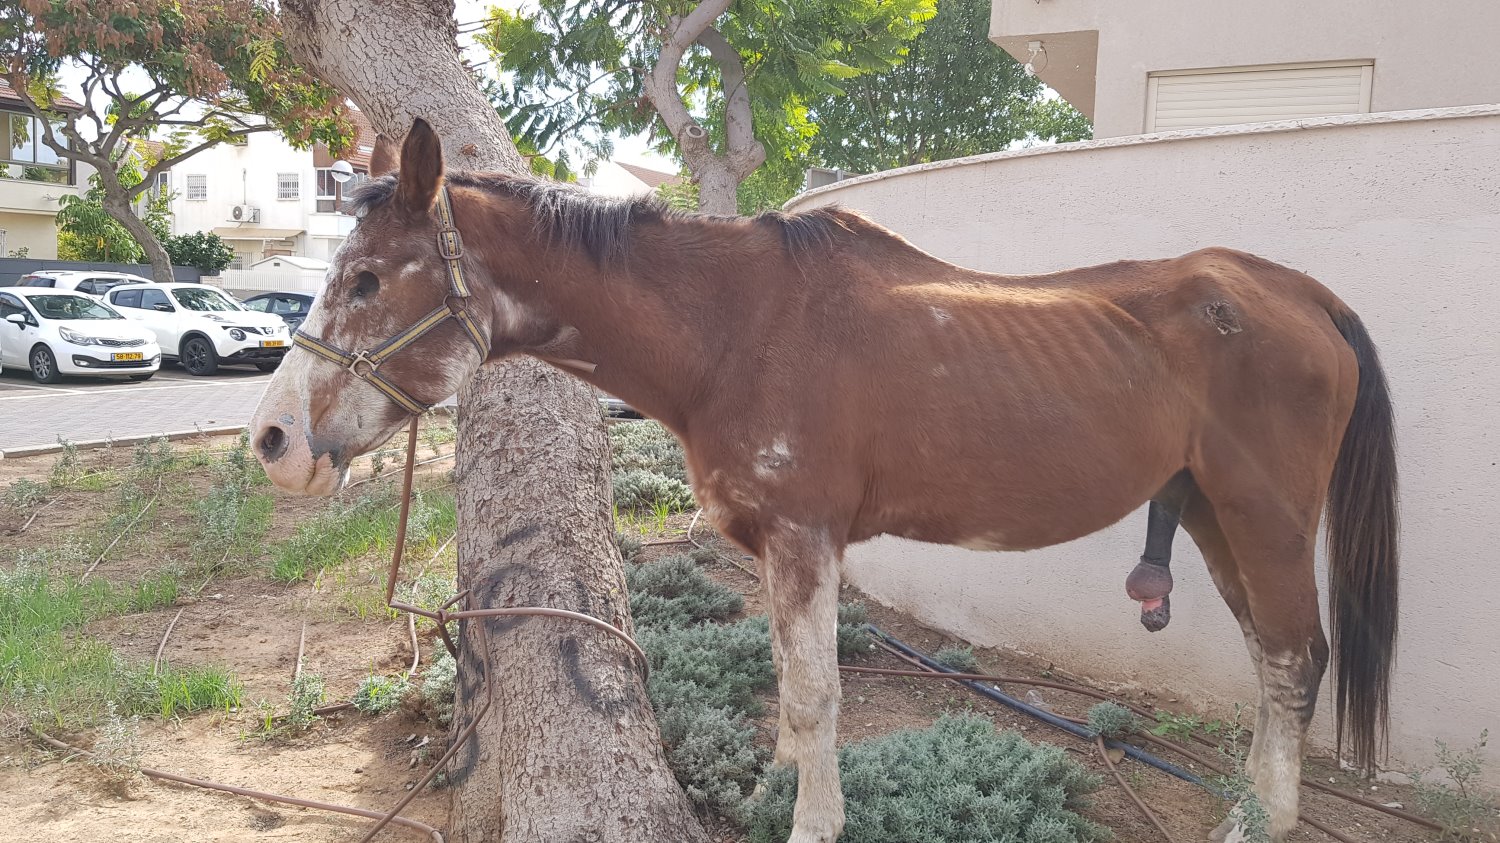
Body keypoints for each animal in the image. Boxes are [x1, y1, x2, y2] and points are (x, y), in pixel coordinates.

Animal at [249, 120, 1404, 840]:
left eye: (366, 279)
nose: (270, 439)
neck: (733, 331)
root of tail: (1302, 294)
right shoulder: (774, 544)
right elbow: (791, 690)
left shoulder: (806, 536)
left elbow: (813, 694)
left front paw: (812, 819)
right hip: (1209, 513)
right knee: (1271, 662)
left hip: (1261, 515)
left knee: (1296, 657)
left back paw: (1269, 821)